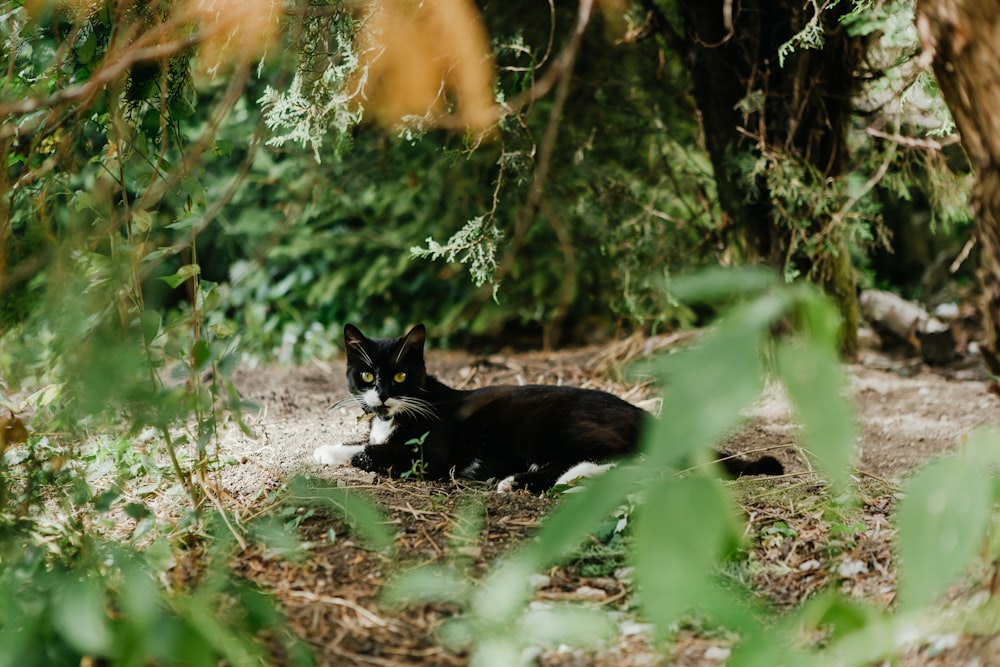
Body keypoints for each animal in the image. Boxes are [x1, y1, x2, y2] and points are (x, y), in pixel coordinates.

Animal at [310, 320, 780, 494]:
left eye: (400, 377)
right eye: (367, 376)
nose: (381, 394)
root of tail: (639, 411)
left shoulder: (432, 455)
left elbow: (374, 453)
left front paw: (336, 451)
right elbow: (363, 442)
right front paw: (329, 448)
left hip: (558, 423)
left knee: (618, 454)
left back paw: (522, 481)